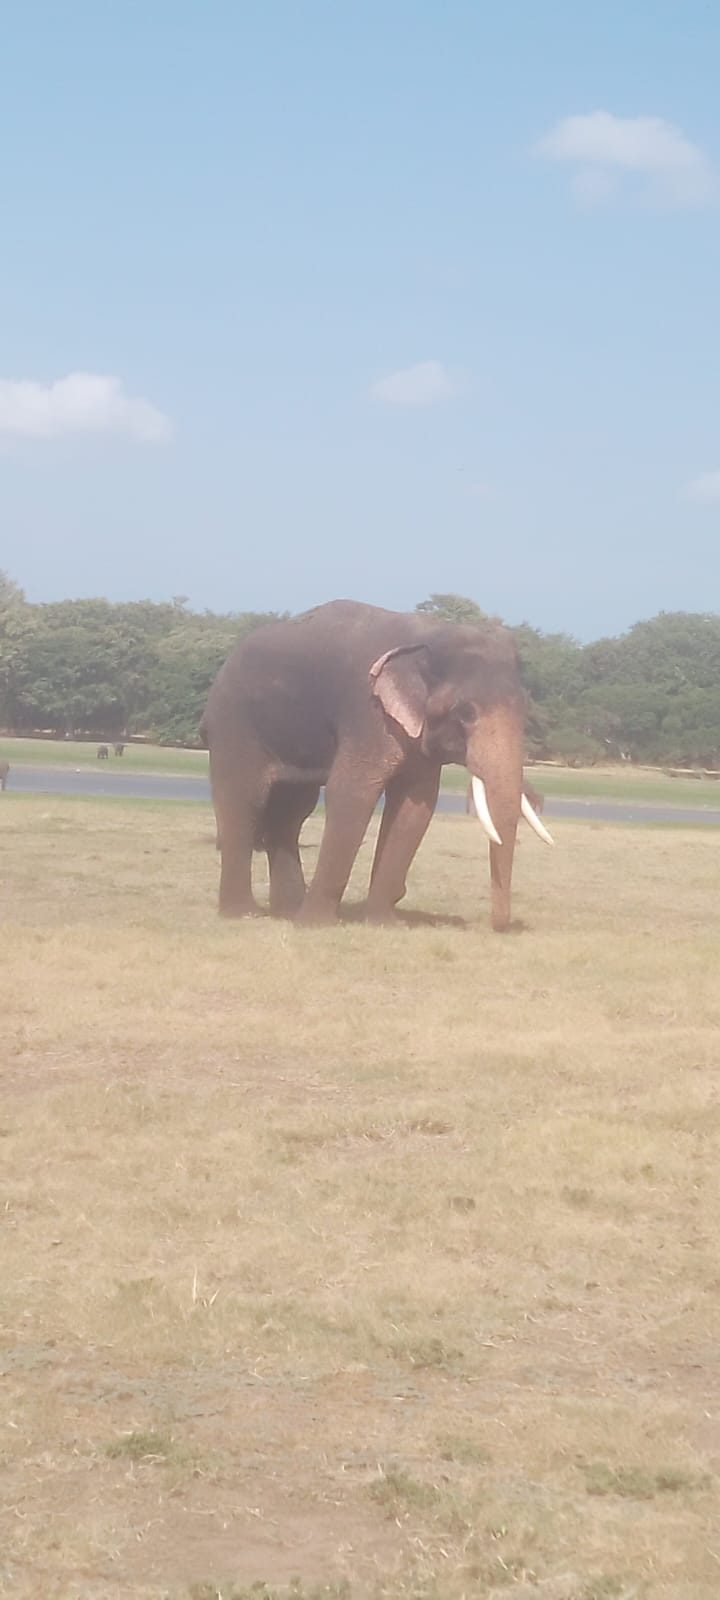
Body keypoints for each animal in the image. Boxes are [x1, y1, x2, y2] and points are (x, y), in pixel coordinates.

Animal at [202, 599, 553, 931]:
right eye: (466, 713)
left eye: (526, 709)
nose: (496, 926)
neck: (429, 634)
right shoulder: (366, 710)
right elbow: (351, 793)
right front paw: (317, 925)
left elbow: (416, 806)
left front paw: (385, 922)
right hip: (234, 725)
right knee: (243, 800)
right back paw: (244, 914)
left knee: (292, 811)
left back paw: (287, 911)